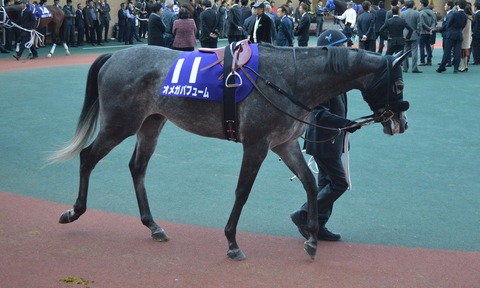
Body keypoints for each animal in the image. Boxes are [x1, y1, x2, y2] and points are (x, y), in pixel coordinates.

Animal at [47, 44, 408, 260]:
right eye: (399, 84)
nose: (401, 122)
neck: (289, 78)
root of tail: (114, 55)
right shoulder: (257, 144)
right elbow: (242, 191)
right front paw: (232, 242)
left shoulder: (284, 144)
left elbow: (308, 182)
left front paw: (311, 238)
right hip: (120, 123)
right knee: (88, 156)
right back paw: (74, 211)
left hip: (151, 122)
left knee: (137, 167)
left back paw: (153, 225)